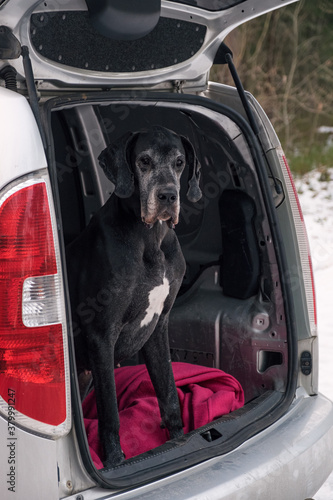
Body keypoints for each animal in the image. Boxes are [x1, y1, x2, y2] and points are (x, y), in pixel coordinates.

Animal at [65, 126, 200, 468]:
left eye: (180, 162)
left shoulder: (159, 327)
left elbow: (168, 394)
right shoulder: (102, 335)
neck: (151, 238)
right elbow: (110, 414)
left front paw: (177, 441)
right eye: (144, 161)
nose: (168, 196)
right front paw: (114, 461)